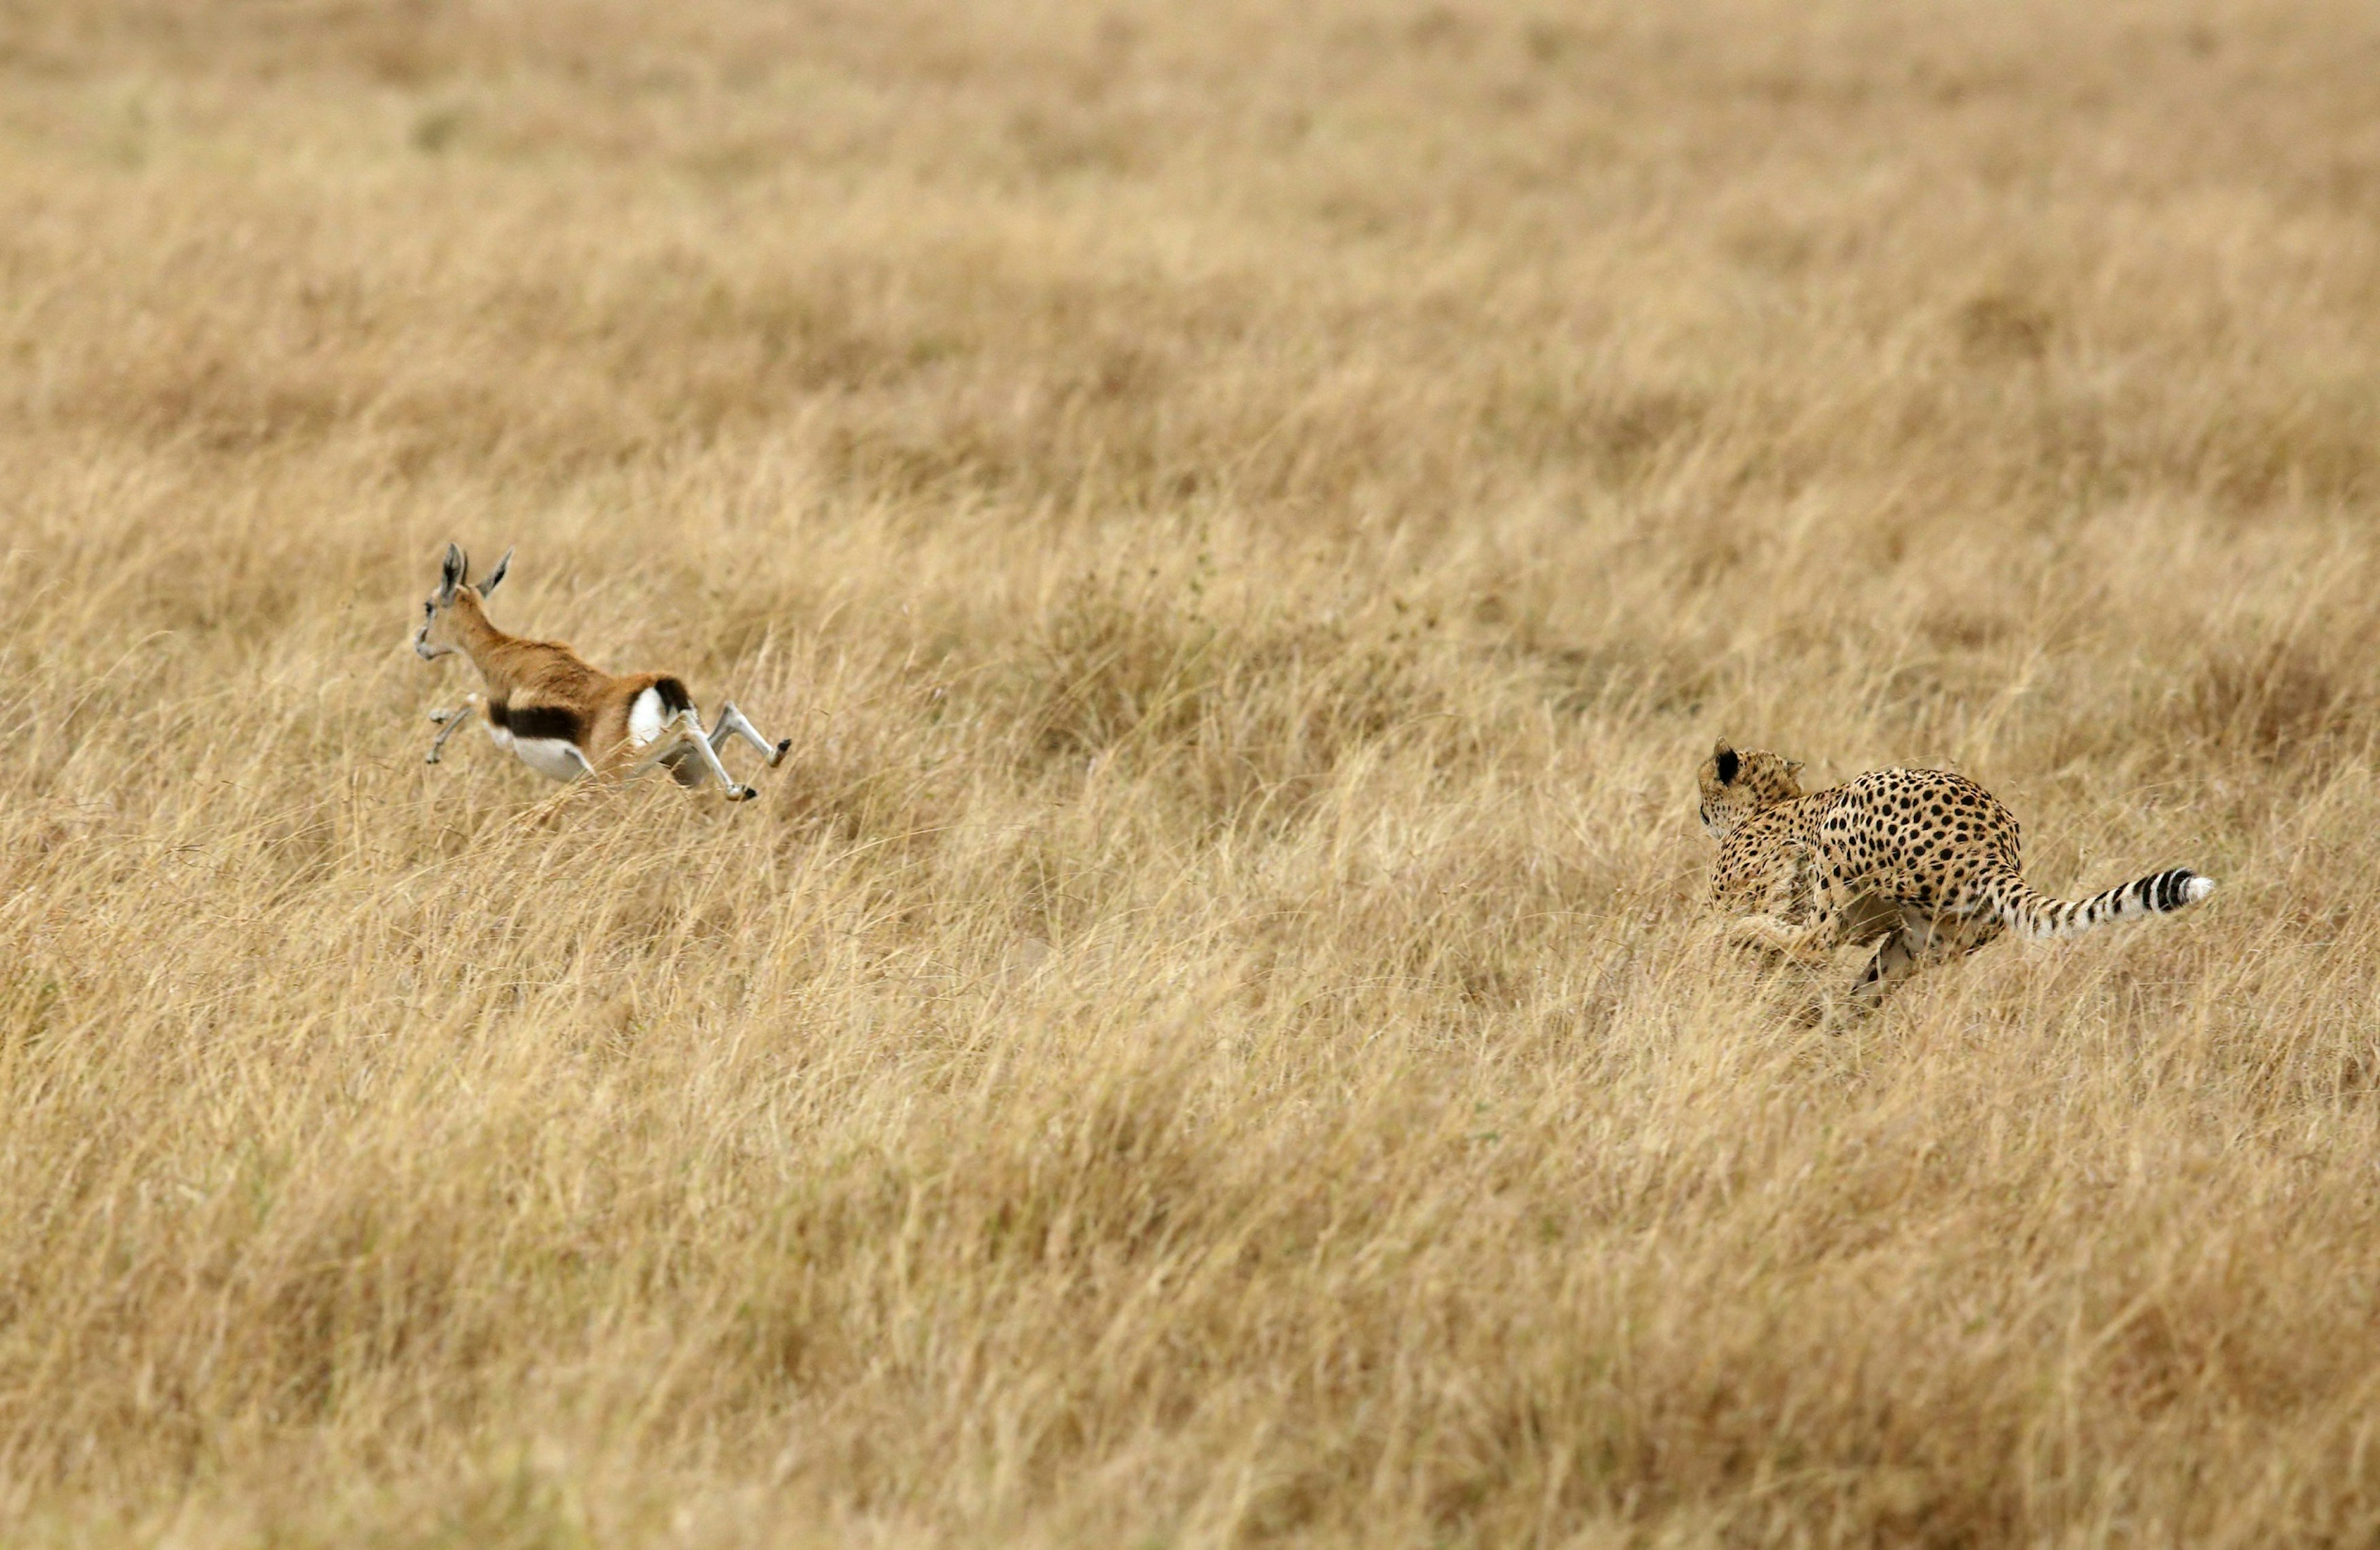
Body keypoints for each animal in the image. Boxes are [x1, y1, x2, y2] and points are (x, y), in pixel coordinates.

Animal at [1695, 742, 2208, 1005]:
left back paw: (1751, 933)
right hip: (1927, 939)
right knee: (1870, 986)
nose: (1699, 811)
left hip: (1845, 836)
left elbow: (1705, 933)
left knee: (1816, 942)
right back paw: (1829, 1025)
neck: (1772, 802)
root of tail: (1993, 847)